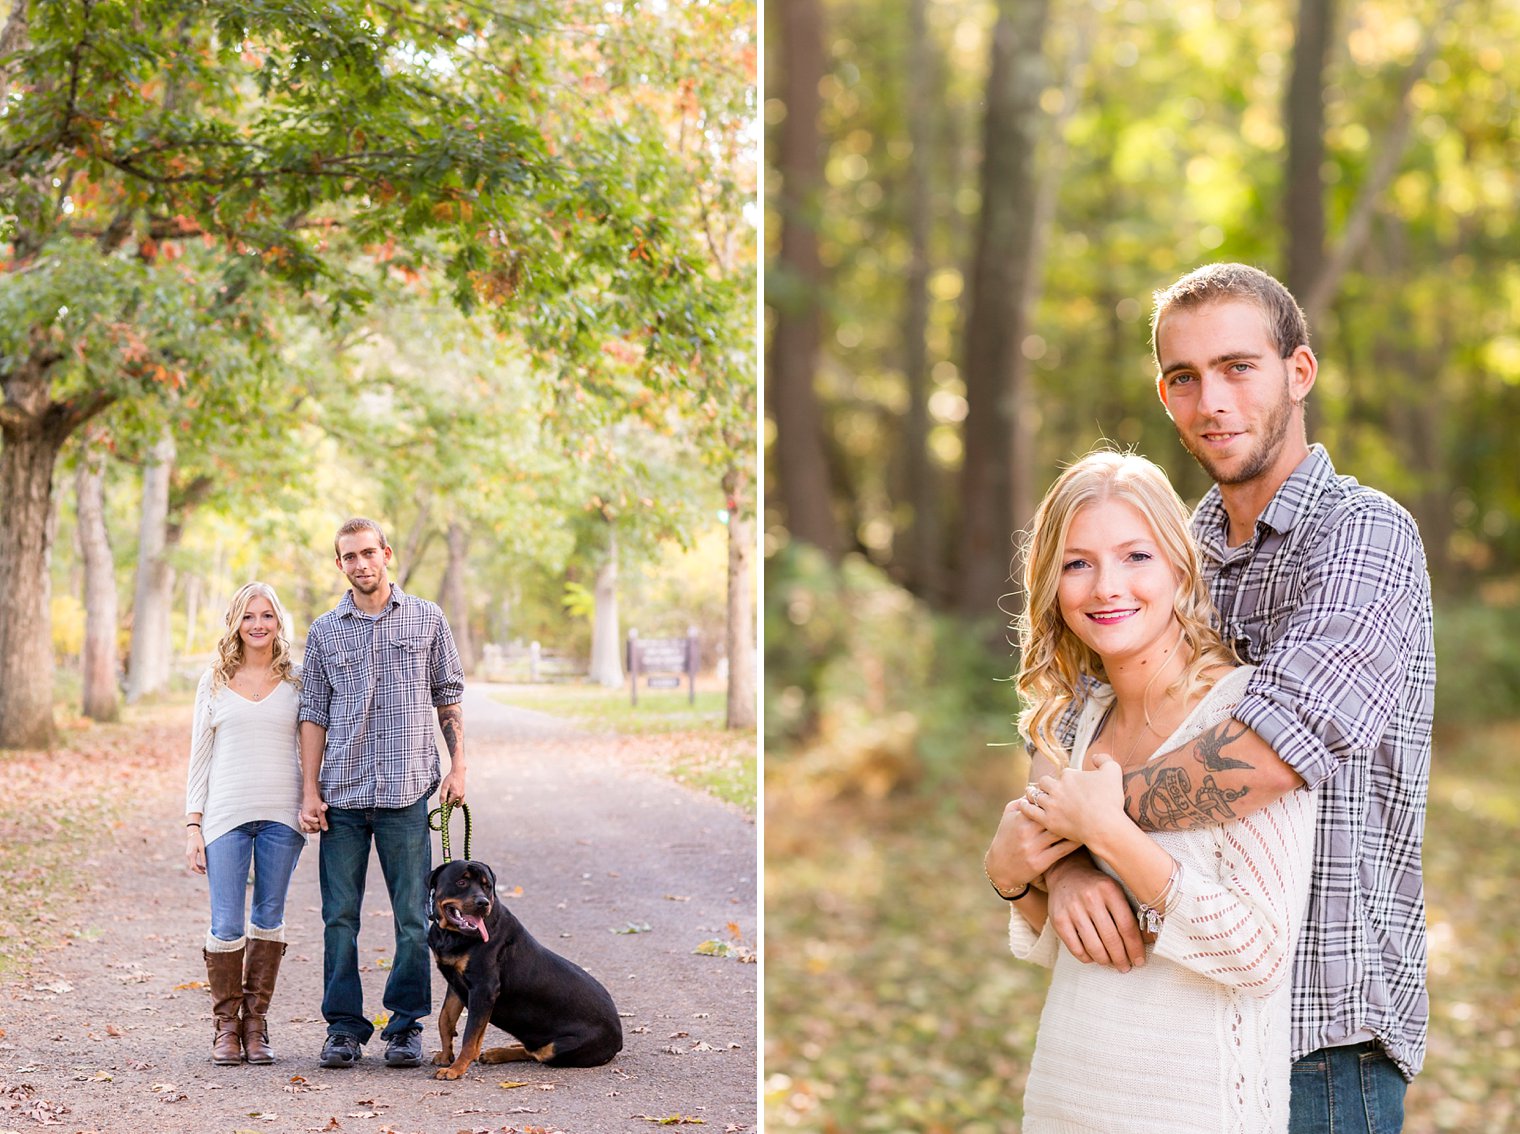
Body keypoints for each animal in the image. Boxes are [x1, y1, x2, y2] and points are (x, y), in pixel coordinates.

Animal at [425, 857, 620, 1076]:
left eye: (487, 886)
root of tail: (619, 1038)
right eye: (461, 882)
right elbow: (445, 1020)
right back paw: (496, 1053)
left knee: (538, 1053)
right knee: (532, 1049)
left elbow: (470, 1036)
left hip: (560, 1047)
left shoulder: (483, 988)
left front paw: (456, 1069)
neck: (451, 935)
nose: (483, 902)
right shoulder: (456, 983)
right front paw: (445, 1056)